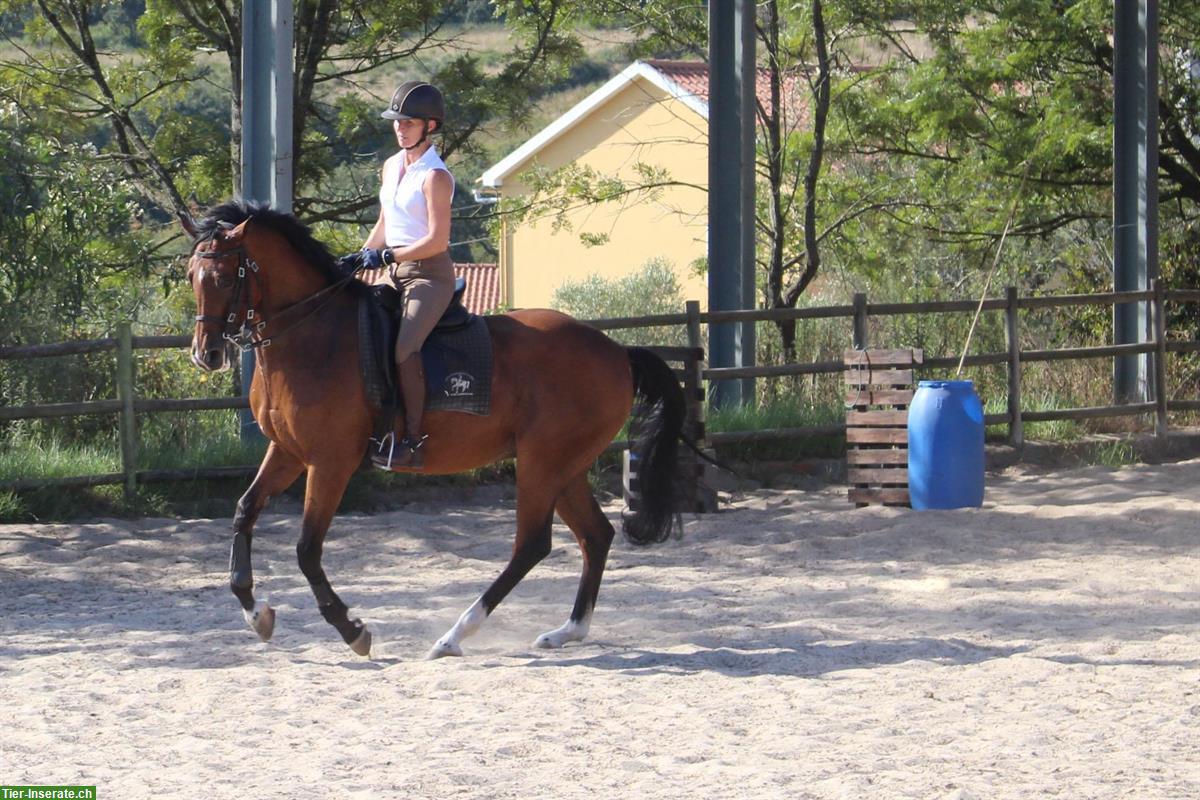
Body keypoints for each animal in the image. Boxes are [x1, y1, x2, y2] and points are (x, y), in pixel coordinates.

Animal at [180, 201, 686, 662]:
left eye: (223, 278)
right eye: (190, 276)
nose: (206, 355)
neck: (312, 333)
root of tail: (617, 351)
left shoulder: (330, 461)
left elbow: (306, 549)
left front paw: (352, 630)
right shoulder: (286, 451)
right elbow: (244, 511)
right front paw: (256, 614)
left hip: (543, 463)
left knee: (532, 544)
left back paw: (454, 636)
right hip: (566, 466)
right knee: (595, 535)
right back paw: (566, 632)